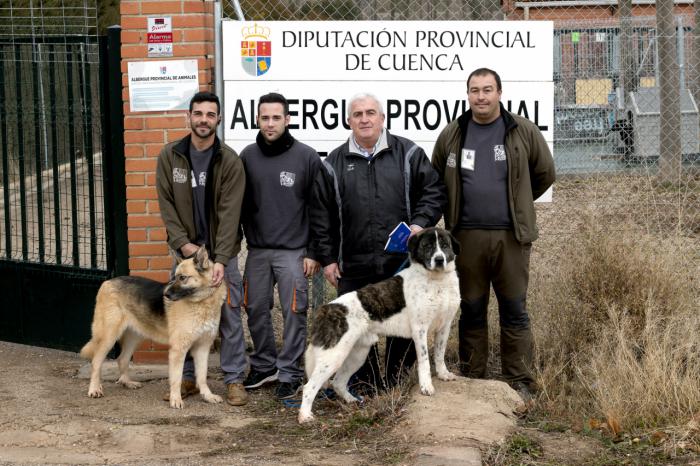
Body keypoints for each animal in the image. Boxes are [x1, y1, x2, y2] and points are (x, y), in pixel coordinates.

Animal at [80, 248, 226, 408]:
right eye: (174, 277)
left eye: (183, 278)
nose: (165, 295)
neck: (203, 301)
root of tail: (108, 281)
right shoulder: (178, 350)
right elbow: (176, 378)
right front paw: (176, 399)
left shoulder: (202, 348)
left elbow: (202, 377)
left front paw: (207, 396)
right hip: (109, 337)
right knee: (96, 362)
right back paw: (94, 389)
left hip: (134, 337)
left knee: (122, 359)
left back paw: (127, 382)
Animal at [298, 228, 462, 424]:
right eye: (427, 246)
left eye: (444, 245)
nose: (439, 260)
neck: (437, 281)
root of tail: (325, 309)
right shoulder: (420, 329)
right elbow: (424, 361)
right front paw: (426, 386)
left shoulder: (444, 326)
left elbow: (439, 354)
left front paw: (444, 374)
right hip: (334, 356)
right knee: (309, 386)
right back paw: (305, 416)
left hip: (357, 354)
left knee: (338, 382)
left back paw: (352, 400)